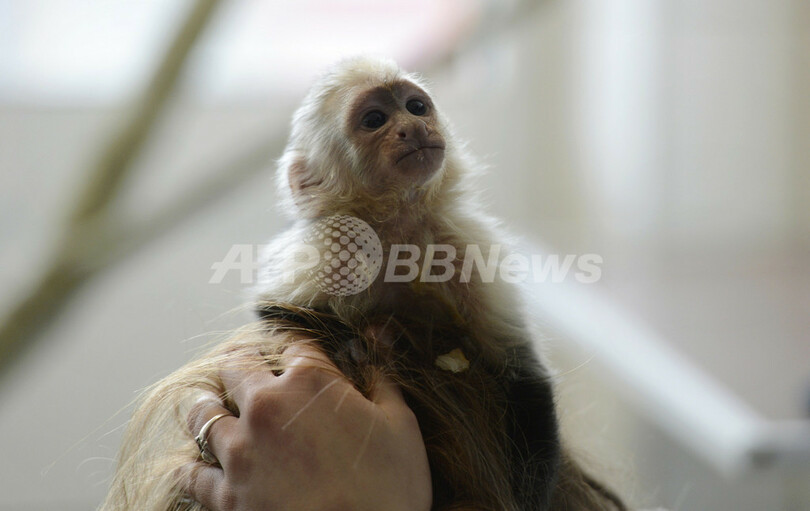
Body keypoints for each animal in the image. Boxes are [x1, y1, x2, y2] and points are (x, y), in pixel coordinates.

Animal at [100, 57, 626, 511]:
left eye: (415, 107)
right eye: (374, 119)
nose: (413, 127)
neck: (398, 234)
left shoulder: (471, 247)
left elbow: (520, 372)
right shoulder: (326, 251)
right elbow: (276, 313)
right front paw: (354, 345)